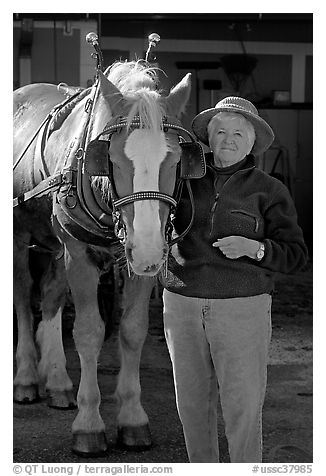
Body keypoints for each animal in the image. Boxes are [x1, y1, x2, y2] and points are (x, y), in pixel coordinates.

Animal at [13, 60, 204, 458]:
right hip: (22, 237)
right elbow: (88, 332)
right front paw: (88, 425)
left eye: (176, 159)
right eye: (111, 158)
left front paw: (132, 418)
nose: (147, 250)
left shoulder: (138, 264)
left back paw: (57, 379)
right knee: (23, 297)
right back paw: (25, 376)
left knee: (51, 297)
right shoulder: (79, 254)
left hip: (56, 245)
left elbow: (132, 331)